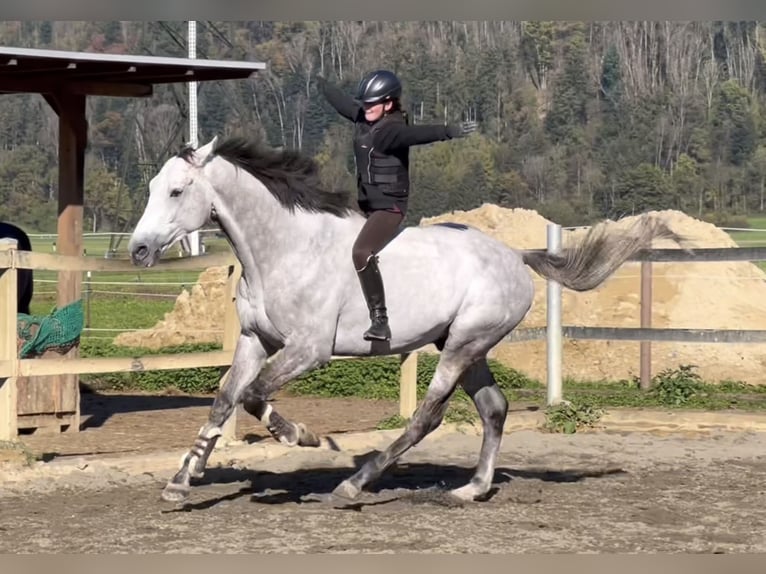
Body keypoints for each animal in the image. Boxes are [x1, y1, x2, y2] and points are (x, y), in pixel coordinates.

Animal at [127, 135, 684, 504]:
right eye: (152, 186)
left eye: (177, 191)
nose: (138, 251)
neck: (282, 250)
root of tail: (514, 256)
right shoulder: (254, 340)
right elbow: (225, 400)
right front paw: (181, 481)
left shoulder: (308, 349)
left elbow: (255, 396)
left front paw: (303, 437)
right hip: (465, 346)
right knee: (494, 408)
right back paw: (471, 489)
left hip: (463, 345)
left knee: (428, 415)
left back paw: (355, 483)